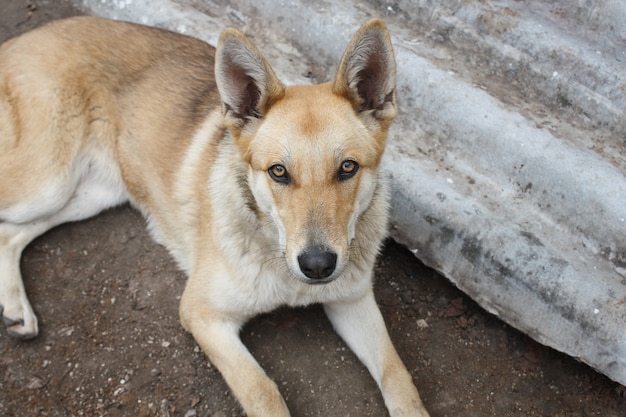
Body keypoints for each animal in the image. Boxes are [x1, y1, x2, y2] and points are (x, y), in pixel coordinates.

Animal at [0, 16, 428, 416]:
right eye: (278, 172)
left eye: (347, 168)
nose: (318, 266)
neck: (276, 254)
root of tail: (28, 37)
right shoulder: (202, 314)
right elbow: (262, 389)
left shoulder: (353, 302)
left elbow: (398, 375)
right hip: (47, 182)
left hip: (88, 194)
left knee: (10, 234)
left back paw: (16, 310)